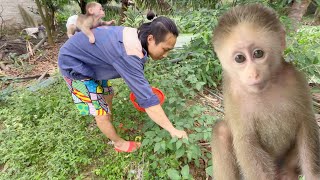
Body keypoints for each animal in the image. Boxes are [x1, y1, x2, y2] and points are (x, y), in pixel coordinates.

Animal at [211, 3, 318, 180]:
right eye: (240, 58)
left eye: (258, 54)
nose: (253, 73)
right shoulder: (233, 92)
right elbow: (246, 140)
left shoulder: (295, 79)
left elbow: (306, 124)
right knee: (221, 131)